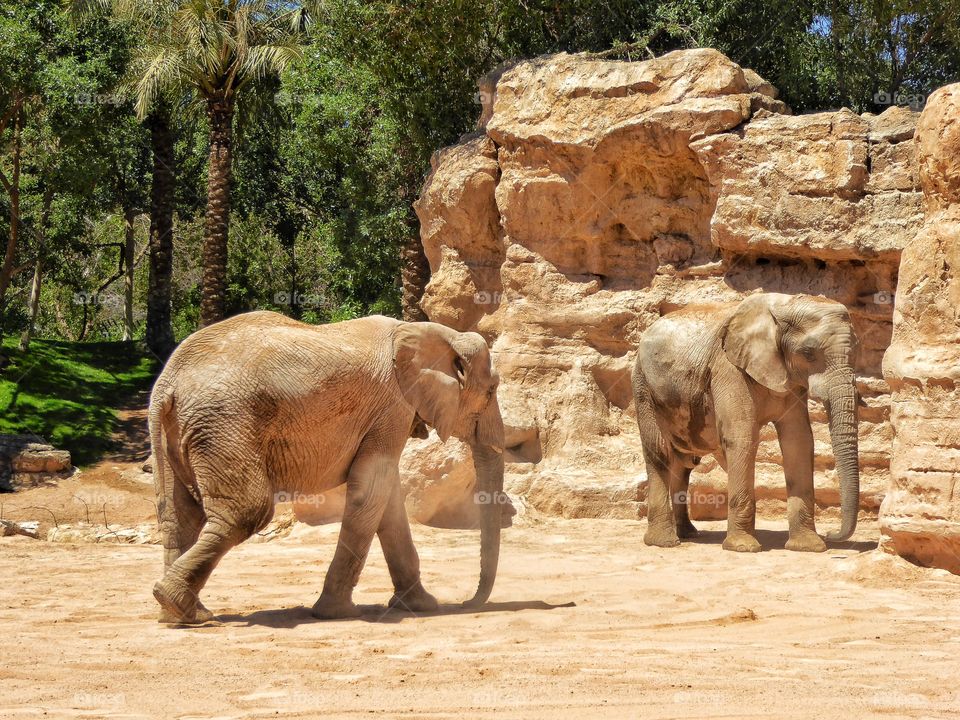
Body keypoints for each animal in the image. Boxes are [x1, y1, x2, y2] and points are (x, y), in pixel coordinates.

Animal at [632, 292, 864, 552]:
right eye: (808, 353)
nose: (833, 534)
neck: (784, 306)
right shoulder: (729, 368)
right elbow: (742, 437)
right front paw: (743, 547)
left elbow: (799, 441)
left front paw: (808, 546)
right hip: (643, 385)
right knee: (659, 451)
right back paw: (665, 542)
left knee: (684, 465)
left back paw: (689, 534)